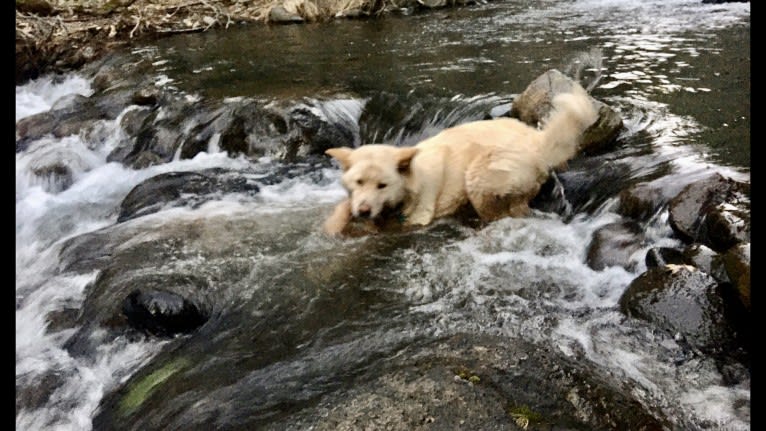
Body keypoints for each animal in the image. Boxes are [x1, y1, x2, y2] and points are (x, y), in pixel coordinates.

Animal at [324, 85, 600, 238]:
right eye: (358, 182)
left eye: (382, 185)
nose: (363, 210)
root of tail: (536, 139)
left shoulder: (418, 220)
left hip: (479, 176)